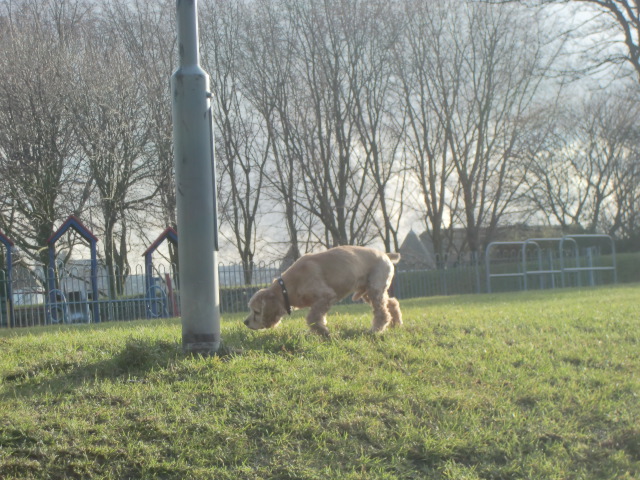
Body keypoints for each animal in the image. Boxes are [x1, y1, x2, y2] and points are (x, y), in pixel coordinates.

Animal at [242, 246, 402, 336]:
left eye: (257, 311)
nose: (245, 322)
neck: (287, 287)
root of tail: (386, 255)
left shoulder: (325, 297)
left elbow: (312, 318)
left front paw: (323, 332)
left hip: (374, 289)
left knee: (382, 312)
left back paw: (376, 330)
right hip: (369, 292)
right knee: (392, 302)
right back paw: (396, 324)